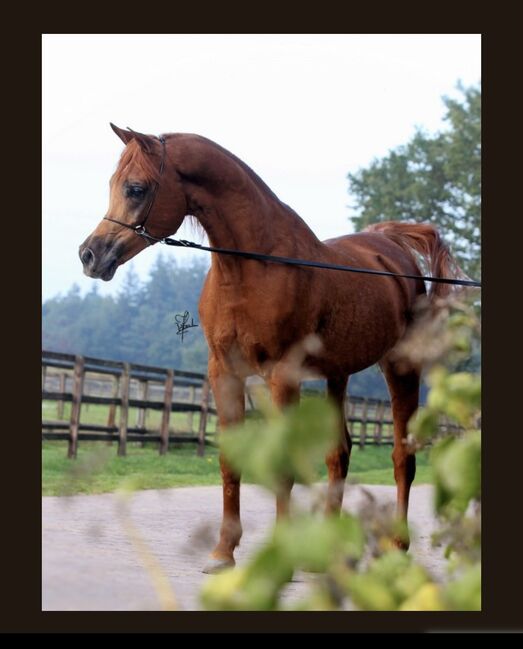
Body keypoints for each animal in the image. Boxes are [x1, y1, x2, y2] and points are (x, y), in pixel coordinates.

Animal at [80, 126, 464, 572]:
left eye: (136, 188)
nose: (90, 255)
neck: (251, 268)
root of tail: (391, 246)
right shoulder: (225, 373)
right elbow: (231, 461)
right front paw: (222, 552)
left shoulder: (283, 376)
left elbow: (284, 463)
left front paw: (280, 555)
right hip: (337, 374)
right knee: (339, 454)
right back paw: (332, 550)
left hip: (400, 368)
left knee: (403, 457)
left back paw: (396, 548)